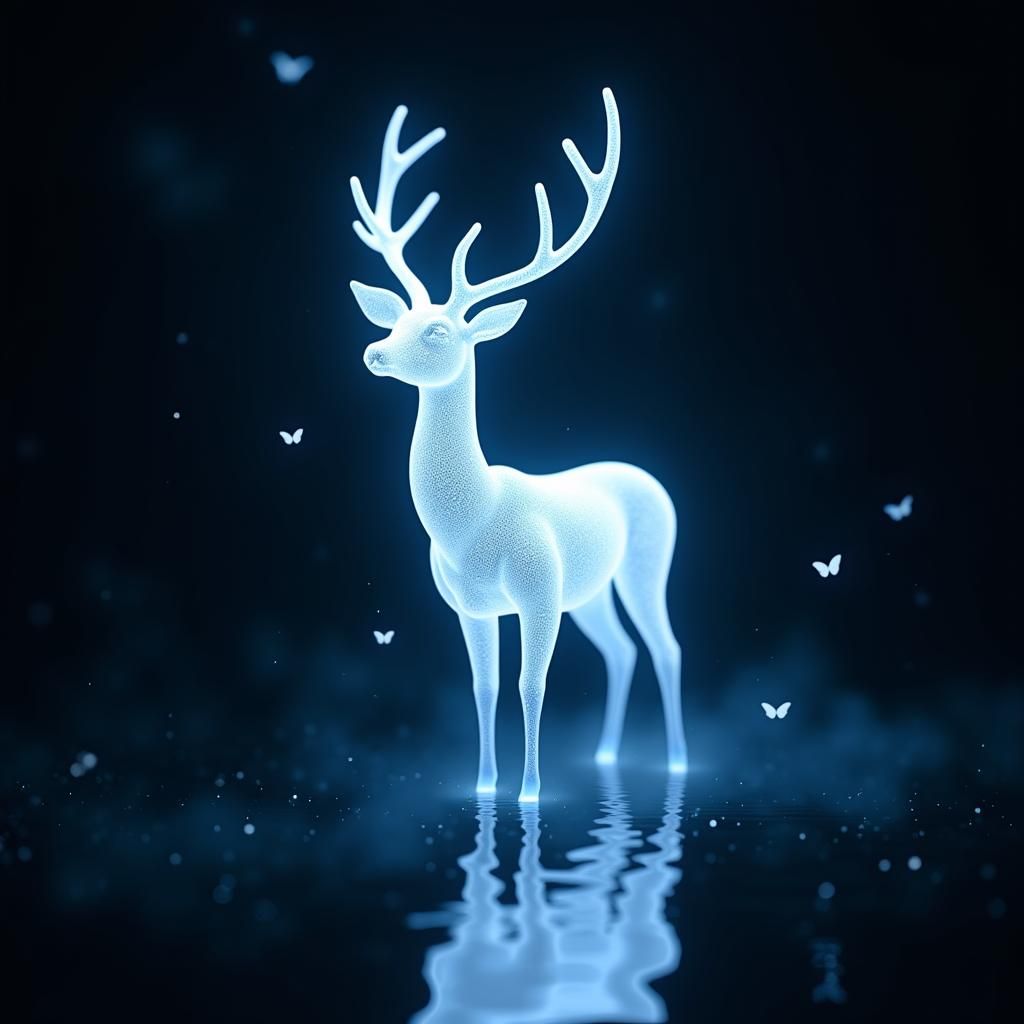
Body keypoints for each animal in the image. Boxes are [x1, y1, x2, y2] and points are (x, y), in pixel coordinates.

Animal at [349, 88, 686, 802]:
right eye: (401, 319)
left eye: (438, 331)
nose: (373, 352)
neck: (472, 522)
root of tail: (646, 473)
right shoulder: (470, 607)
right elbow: (484, 687)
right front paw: (483, 785)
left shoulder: (536, 593)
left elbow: (533, 686)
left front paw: (530, 793)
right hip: (590, 590)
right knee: (621, 650)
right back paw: (606, 755)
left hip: (647, 563)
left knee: (665, 647)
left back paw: (675, 762)